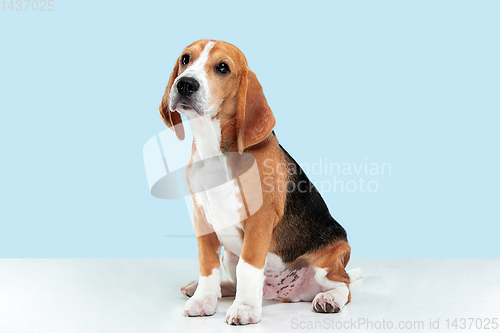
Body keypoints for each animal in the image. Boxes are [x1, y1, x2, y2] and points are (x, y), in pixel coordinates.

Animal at [158, 39, 358, 324]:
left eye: (222, 67)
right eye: (186, 59)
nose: (185, 84)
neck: (214, 150)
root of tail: (286, 293)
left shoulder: (259, 219)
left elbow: (249, 265)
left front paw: (244, 309)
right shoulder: (202, 218)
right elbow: (208, 265)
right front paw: (204, 299)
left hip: (330, 258)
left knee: (344, 284)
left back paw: (329, 299)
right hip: (229, 254)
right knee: (235, 279)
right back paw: (208, 289)